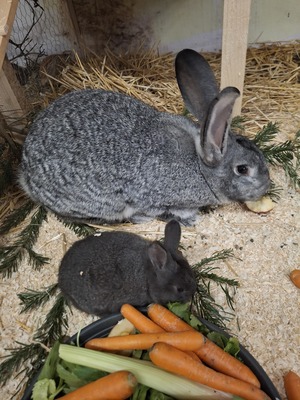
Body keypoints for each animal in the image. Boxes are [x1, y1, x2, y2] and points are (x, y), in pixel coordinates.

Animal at [19, 47, 270, 225]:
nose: (266, 186)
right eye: (243, 169)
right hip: (98, 203)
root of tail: (27, 175)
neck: (200, 166)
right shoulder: (155, 198)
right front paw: (188, 219)